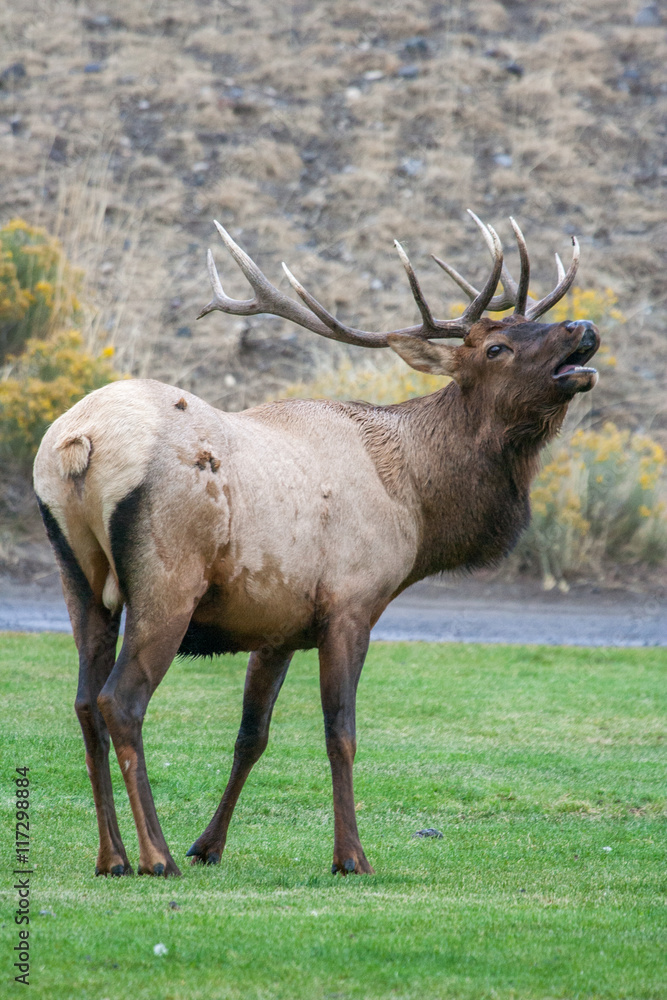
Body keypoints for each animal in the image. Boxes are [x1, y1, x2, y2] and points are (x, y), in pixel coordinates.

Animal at [33, 211, 600, 878]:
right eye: (496, 347)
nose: (583, 327)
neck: (416, 502)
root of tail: (79, 441)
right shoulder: (352, 603)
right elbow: (341, 732)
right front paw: (350, 856)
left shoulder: (275, 622)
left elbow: (252, 736)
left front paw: (210, 845)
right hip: (167, 578)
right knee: (121, 701)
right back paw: (156, 856)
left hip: (78, 576)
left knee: (84, 702)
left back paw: (113, 857)